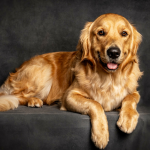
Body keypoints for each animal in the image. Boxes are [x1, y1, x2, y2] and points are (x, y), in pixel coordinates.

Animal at [0, 13, 142, 149]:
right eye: (101, 32)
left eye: (124, 33)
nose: (113, 52)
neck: (108, 78)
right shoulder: (69, 96)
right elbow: (95, 104)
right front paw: (101, 135)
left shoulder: (134, 92)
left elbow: (130, 98)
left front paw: (128, 119)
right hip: (44, 70)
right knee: (16, 95)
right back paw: (33, 100)